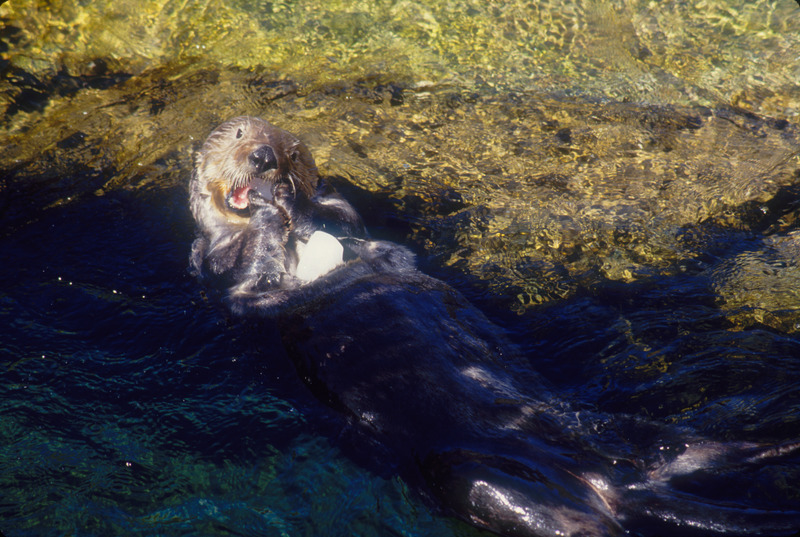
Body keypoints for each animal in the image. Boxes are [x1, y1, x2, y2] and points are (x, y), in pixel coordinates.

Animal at [190, 118, 800, 537]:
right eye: (239, 133)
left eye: (292, 149)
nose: (268, 158)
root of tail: (614, 479)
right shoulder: (228, 273)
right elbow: (247, 275)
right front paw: (270, 208)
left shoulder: (363, 236)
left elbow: (352, 223)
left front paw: (295, 198)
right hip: (476, 477)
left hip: (626, 434)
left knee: (692, 449)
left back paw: (772, 445)